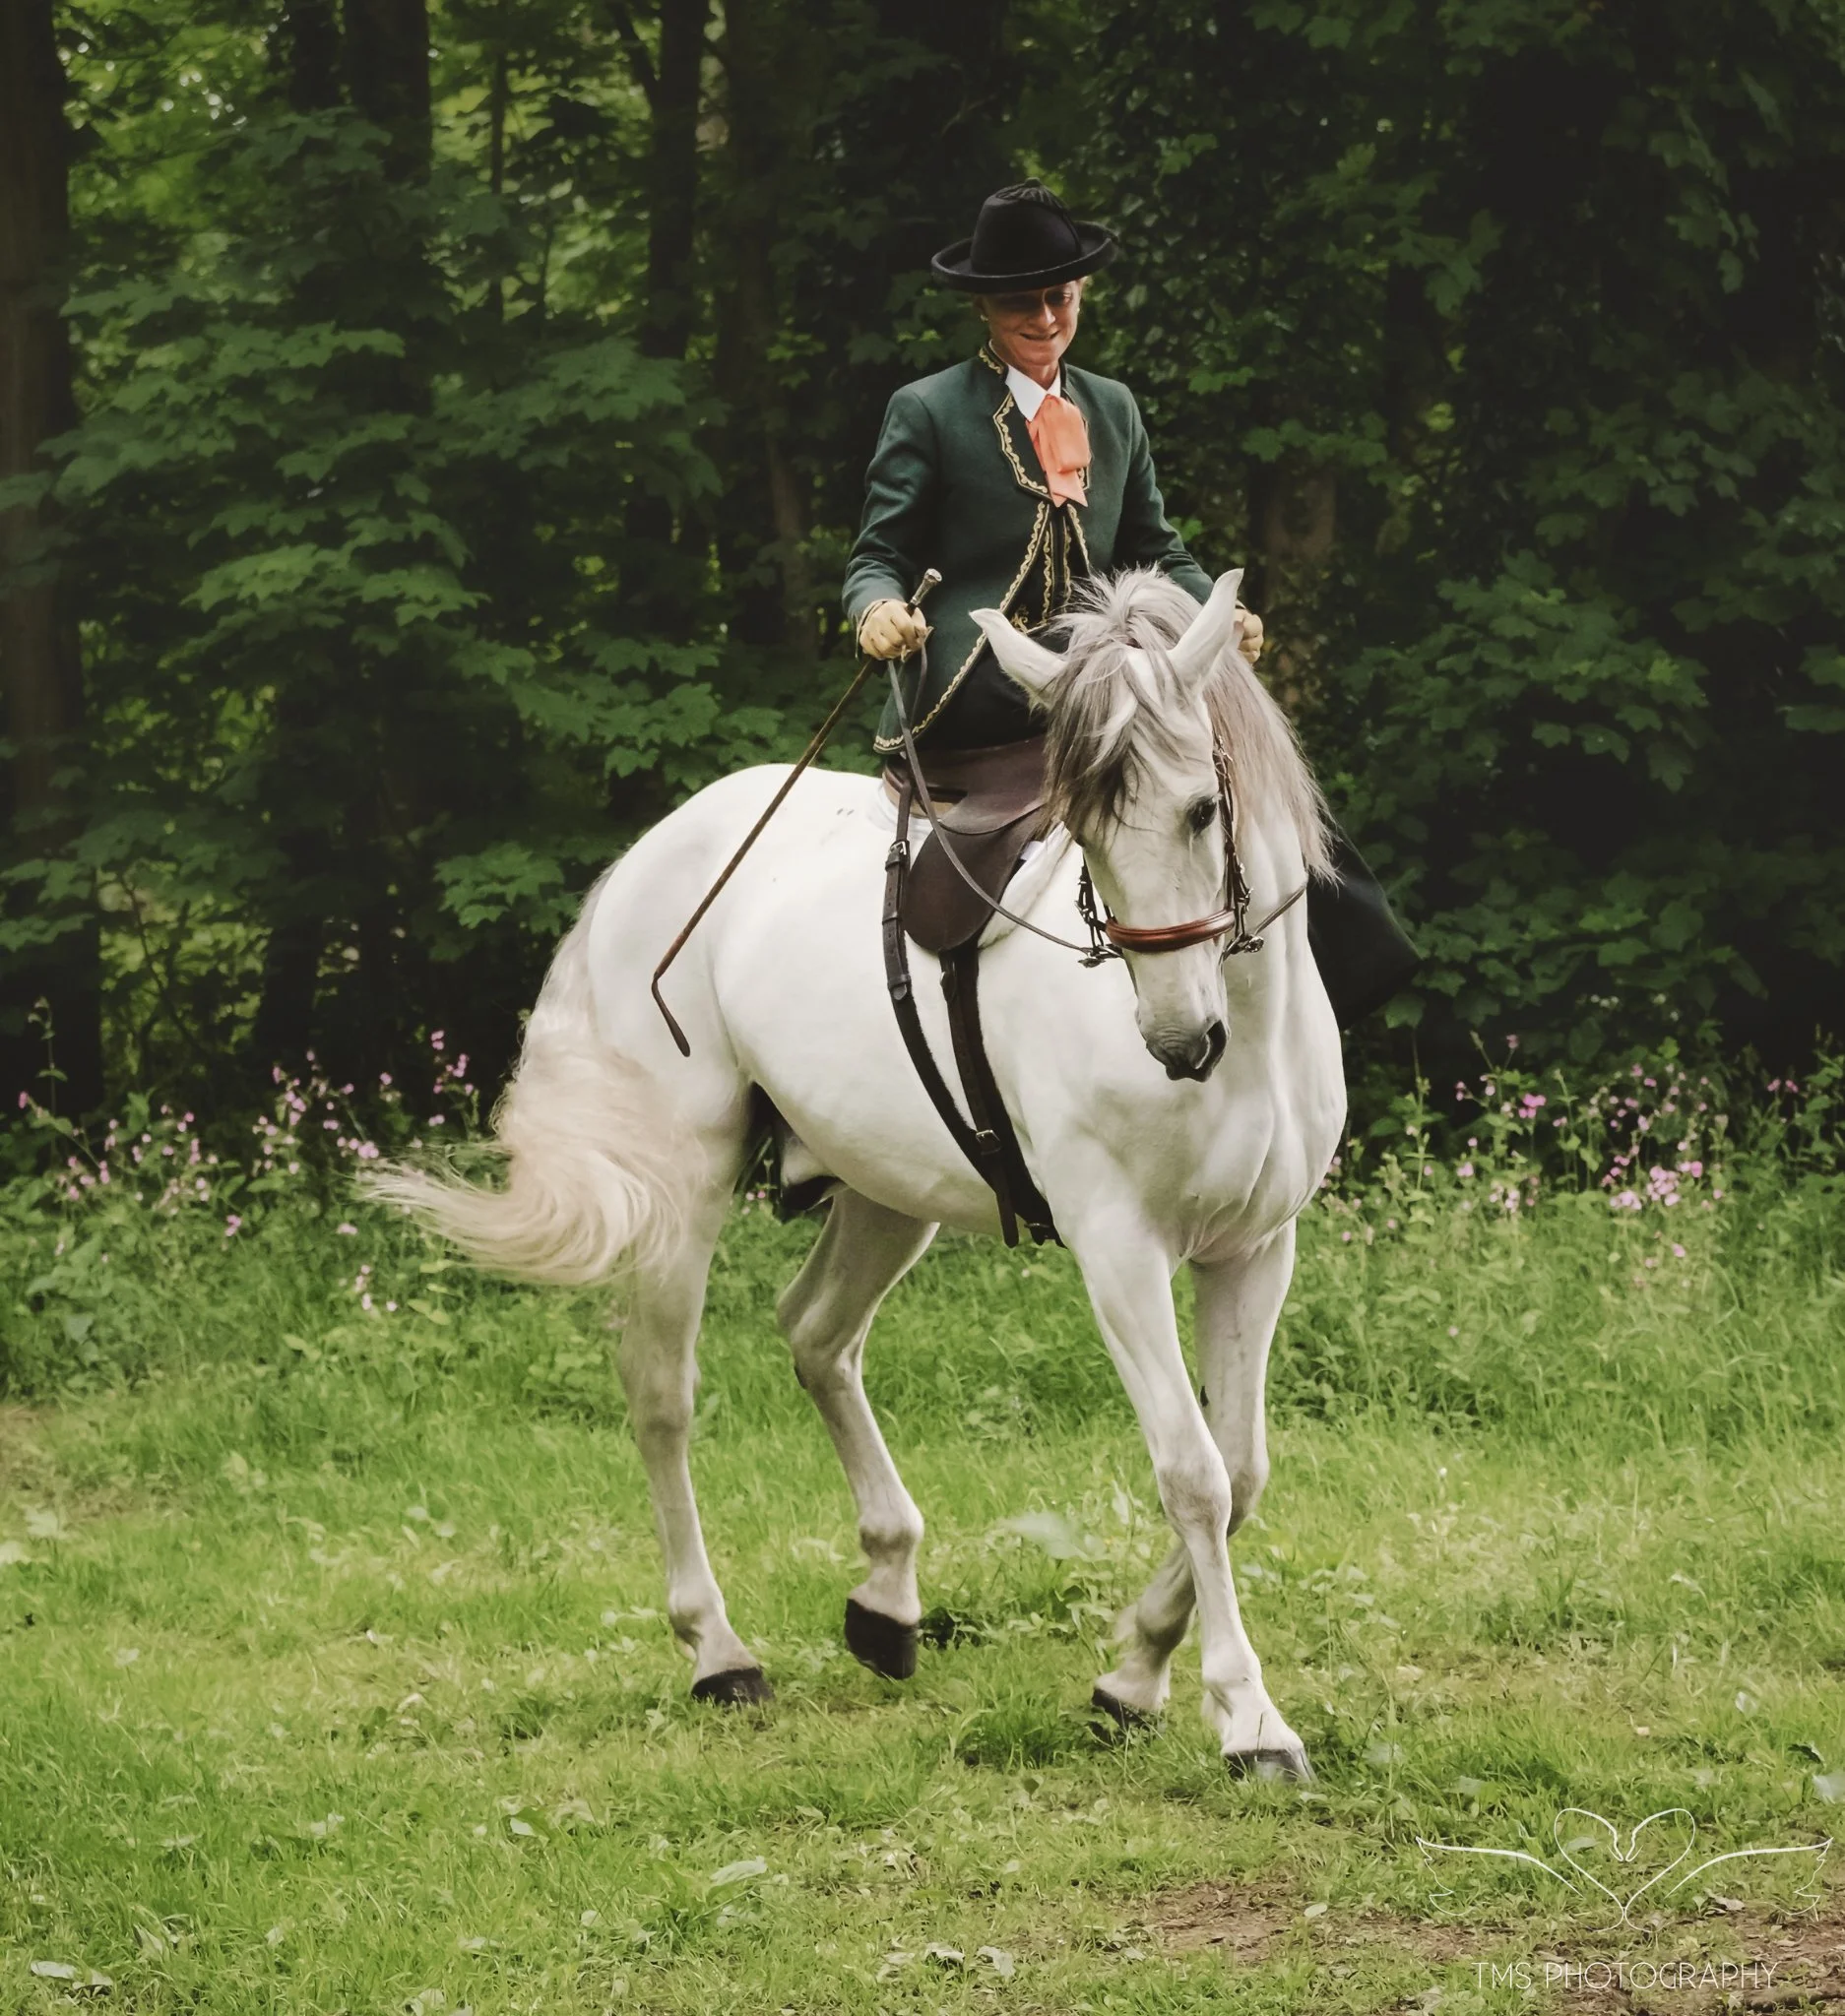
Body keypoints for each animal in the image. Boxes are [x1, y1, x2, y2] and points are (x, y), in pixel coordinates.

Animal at [372, 566, 1344, 1779]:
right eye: (1081, 828)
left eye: (1203, 810)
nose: (1177, 1040)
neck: (1245, 1037)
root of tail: (660, 848)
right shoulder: (1119, 1250)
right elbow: (1194, 1473)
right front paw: (1245, 1715)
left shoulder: (1255, 1248)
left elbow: (1244, 1468)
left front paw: (1132, 1673)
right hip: (684, 1190)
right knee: (662, 1397)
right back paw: (718, 1650)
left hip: (885, 1194)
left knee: (816, 1335)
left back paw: (885, 1595)